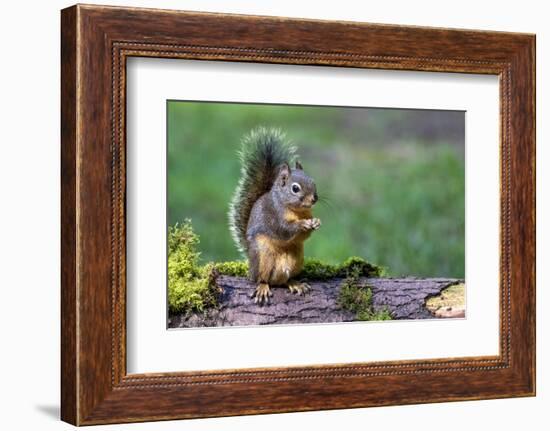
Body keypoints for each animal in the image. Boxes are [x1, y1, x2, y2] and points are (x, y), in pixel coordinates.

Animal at [230, 126, 324, 306]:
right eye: (295, 188)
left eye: (314, 182)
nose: (314, 199)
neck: (297, 210)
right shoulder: (274, 216)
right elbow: (284, 229)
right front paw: (302, 224)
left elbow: (304, 236)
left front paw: (315, 222)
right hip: (263, 256)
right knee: (263, 278)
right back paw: (262, 287)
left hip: (296, 258)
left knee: (283, 280)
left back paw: (295, 283)